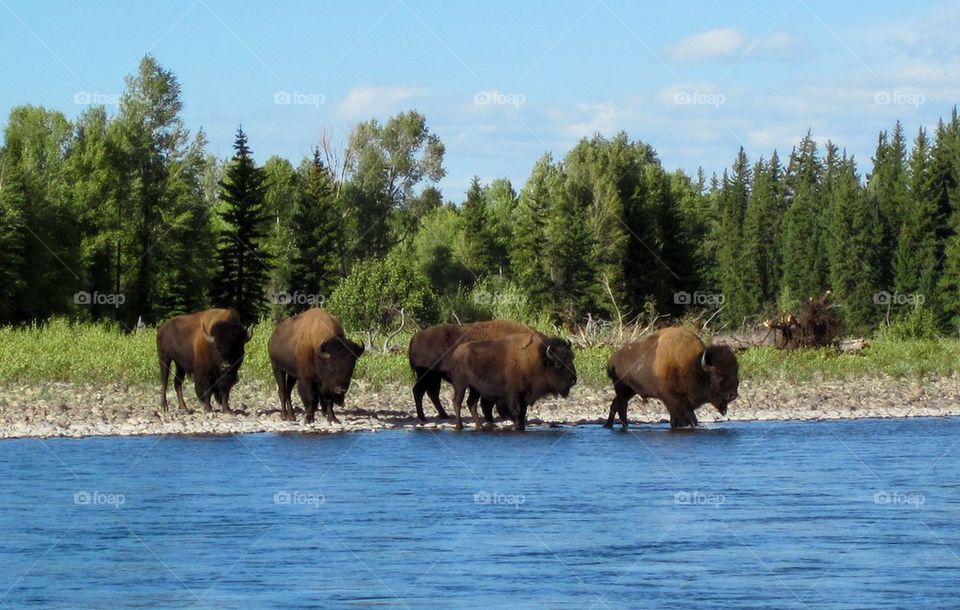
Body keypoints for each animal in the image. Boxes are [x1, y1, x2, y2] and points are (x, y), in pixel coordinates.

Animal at [408, 320, 537, 421]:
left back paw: (444, 415)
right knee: (419, 391)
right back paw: (423, 417)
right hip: (426, 375)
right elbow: (487, 403)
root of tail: (414, 338)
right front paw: (489, 418)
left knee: (431, 393)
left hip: (434, 377)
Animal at [448, 333, 577, 431]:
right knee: (457, 402)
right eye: (558, 363)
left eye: (571, 359)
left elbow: (523, 412)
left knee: (471, 404)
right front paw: (517, 426)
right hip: (461, 385)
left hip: (475, 389)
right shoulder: (512, 395)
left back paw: (480, 427)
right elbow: (515, 412)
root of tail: (456, 351)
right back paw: (459, 426)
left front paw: (522, 427)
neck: (539, 360)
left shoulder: (524, 396)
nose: (573, 380)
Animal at [605, 327, 739, 429]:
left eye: (736, 372)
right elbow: (684, 418)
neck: (692, 365)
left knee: (615, 404)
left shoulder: (685, 401)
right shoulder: (671, 399)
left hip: (630, 391)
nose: (732, 395)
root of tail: (612, 360)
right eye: (718, 375)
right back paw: (623, 426)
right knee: (621, 406)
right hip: (622, 389)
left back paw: (609, 425)